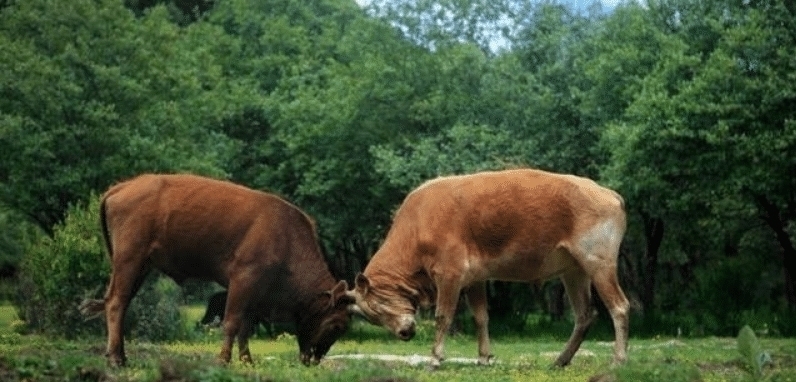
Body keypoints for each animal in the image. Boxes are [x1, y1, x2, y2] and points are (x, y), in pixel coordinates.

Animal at [80, 175, 352, 366]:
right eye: (336, 325)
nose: (313, 360)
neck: (285, 237)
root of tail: (122, 187)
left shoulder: (255, 291)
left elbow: (245, 326)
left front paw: (247, 361)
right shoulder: (243, 280)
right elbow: (232, 322)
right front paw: (223, 360)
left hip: (141, 267)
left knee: (119, 301)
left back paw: (120, 356)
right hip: (129, 261)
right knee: (116, 303)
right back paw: (117, 359)